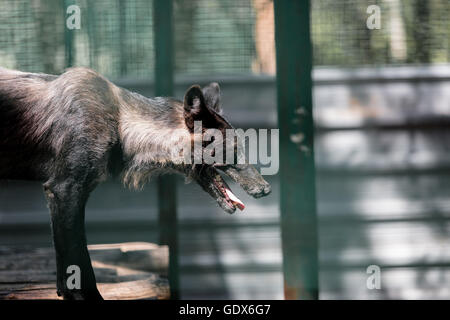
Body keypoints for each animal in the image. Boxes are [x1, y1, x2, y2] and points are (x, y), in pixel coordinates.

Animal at [0, 67, 270, 300]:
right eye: (232, 151)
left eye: (242, 148)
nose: (266, 189)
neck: (121, 124)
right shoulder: (65, 190)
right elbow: (80, 260)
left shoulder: (67, 196)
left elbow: (65, 264)